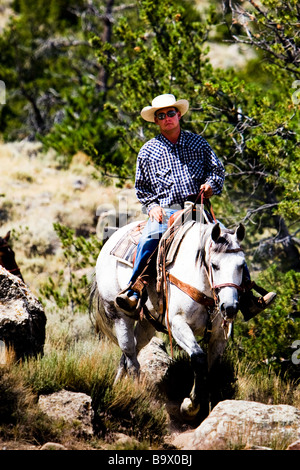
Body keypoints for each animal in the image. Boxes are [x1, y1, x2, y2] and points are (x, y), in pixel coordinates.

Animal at [91, 218, 246, 420]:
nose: (230, 307)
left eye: (242, 265)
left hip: (147, 325)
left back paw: (117, 385)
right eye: (215, 265)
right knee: (130, 354)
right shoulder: (178, 324)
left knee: (130, 352)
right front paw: (190, 405)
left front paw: (207, 407)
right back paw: (136, 393)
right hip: (119, 314)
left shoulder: (219, 336)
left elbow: (212, 371)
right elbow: (199, 359)